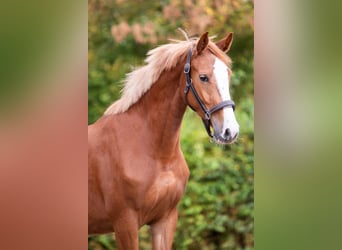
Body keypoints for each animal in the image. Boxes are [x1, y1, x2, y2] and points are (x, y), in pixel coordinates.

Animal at [88, 32, 238, 249]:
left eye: (228, 75)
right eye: (203, 77)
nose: (230, 131)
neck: (157, 154)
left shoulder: (165, 220)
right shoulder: (125, 223)